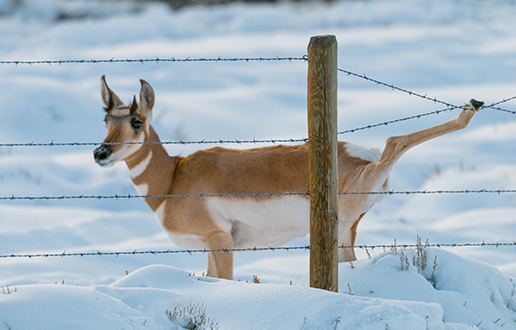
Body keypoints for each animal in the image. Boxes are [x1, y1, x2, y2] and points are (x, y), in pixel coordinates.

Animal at [93, 76, 484, 280]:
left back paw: (469, 108)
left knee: (393, 141)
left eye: (137, 122)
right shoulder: (209, 247)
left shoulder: (220, 241)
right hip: (346, 231)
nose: (100, 153)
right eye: (106, 120)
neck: (173, 178)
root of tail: (357, 153)